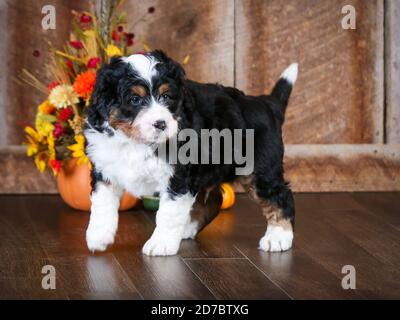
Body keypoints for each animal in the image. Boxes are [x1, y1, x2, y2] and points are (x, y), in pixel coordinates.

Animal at [84, 52, 296, 258]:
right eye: (135, 99)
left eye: (166, 96)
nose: (161, 124)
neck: (136, 143)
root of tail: (265, 103)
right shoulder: (104, 167)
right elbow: (102, 203)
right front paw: (98, 237)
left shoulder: (178, 177)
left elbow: (168, 213)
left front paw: (161, 244)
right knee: (213, 200)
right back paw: (186, 229)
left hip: (258, 168)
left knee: (279, 196)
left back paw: (278, 238)